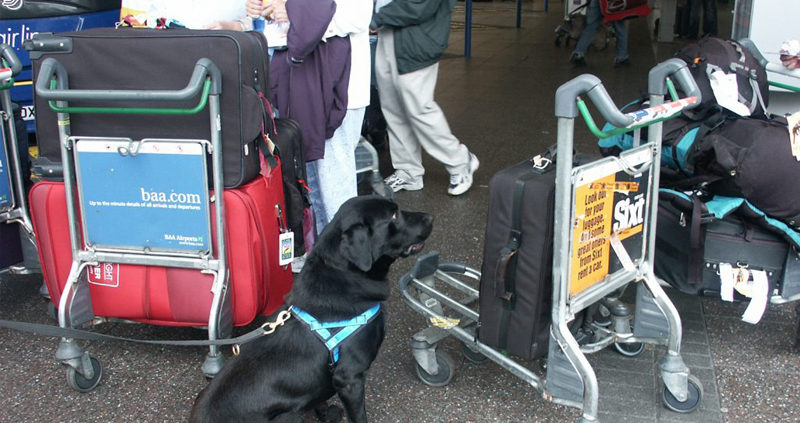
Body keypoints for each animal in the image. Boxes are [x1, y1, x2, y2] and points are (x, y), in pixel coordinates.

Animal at [189, 197, 432, 422]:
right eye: (393, 215)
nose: (429, 217)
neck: (345, 276)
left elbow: (318, 397)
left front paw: (326, 414)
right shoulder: (350, 378)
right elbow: (359, 416)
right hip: (288, 415)